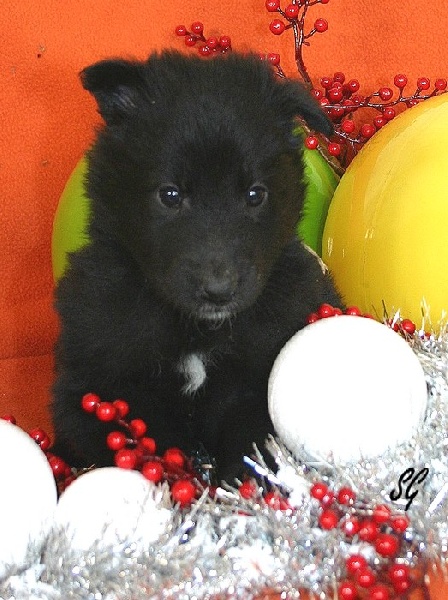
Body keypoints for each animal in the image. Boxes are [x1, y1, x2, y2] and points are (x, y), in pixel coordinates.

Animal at [51, 51, 343, 481]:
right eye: (170, 195)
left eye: (255, 194)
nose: (218, 290)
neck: (198, 330)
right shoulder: (101, 383)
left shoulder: (256, 375)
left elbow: (250, 440)